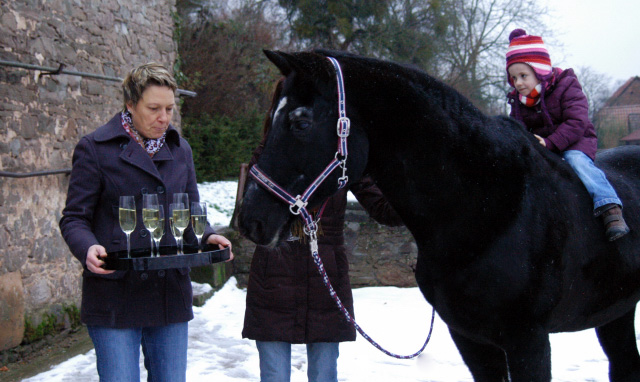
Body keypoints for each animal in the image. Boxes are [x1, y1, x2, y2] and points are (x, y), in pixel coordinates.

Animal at [238, 49, 640, 380]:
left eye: (300, 122)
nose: (250, 221)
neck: (486, 208)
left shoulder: (529, 340)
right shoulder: (470, 339)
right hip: (615, 312)